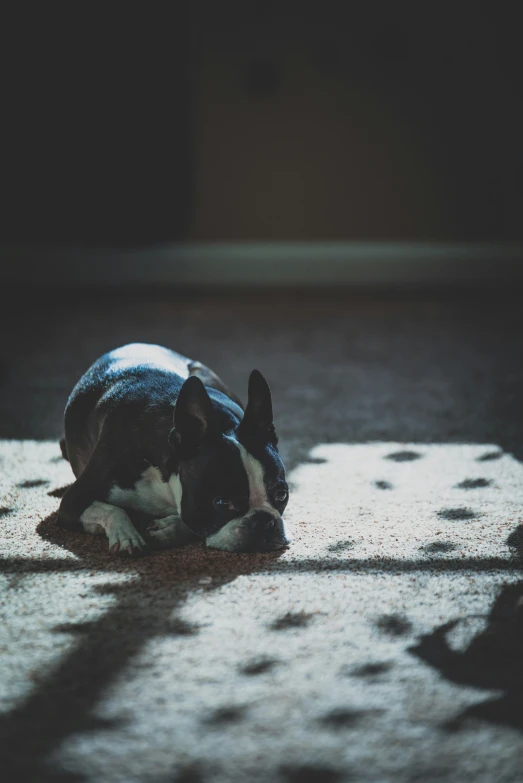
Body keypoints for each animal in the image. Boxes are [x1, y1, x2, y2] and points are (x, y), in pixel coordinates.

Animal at [59, 344, 292, 556]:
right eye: (223, 503)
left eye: (282, 495)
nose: (263, 522)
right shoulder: (73, 502)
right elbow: (113, 511)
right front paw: (127, 536)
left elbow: (191, 522)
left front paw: (170, 529)